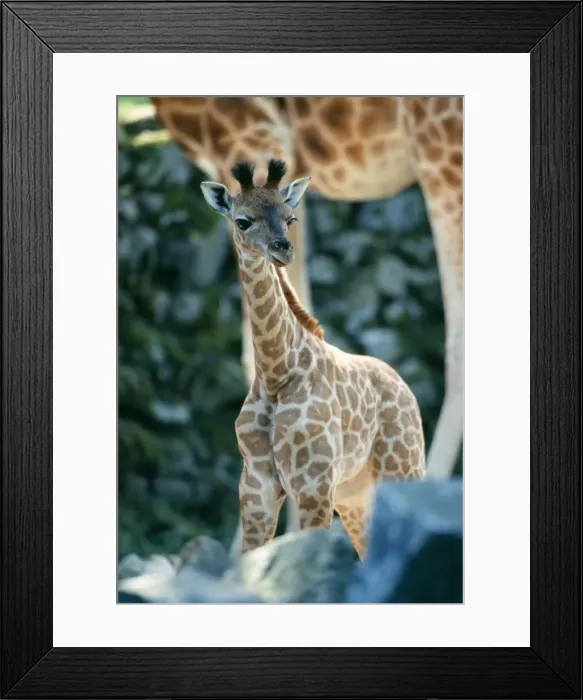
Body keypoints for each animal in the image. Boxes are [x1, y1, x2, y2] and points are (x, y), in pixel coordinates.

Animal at [200, 159, 425, 560]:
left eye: (291, 218)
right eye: (242, 221)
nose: (283, 250)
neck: (276, 372)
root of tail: (403, 386)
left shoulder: (314, 485)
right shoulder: (256, 487)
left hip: (402, 467)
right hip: (355, 494)